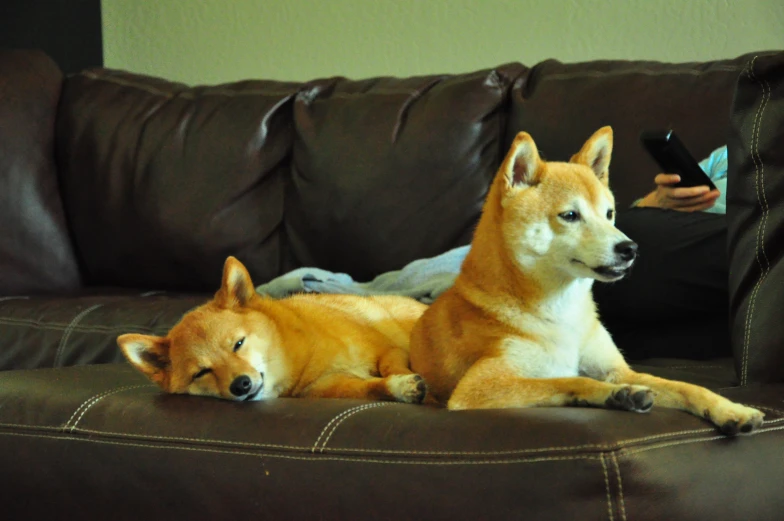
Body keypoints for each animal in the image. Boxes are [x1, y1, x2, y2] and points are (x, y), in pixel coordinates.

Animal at [118, 256, 428, 402]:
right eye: (201, 373)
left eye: (238, 344)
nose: (240, 385)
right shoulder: (328, 387)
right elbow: (372, 388)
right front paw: (399, 387)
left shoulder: (388, 349)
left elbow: (391, 364)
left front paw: (406, 379)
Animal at [408, 127, 764, 434]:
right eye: (570, 216)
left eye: (609, 214)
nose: (630, 249)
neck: (563, 310)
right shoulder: (479, 386)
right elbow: (570, 380)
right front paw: (617, 395)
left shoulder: (618, 370)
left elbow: (688, 386)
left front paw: (732, 408)